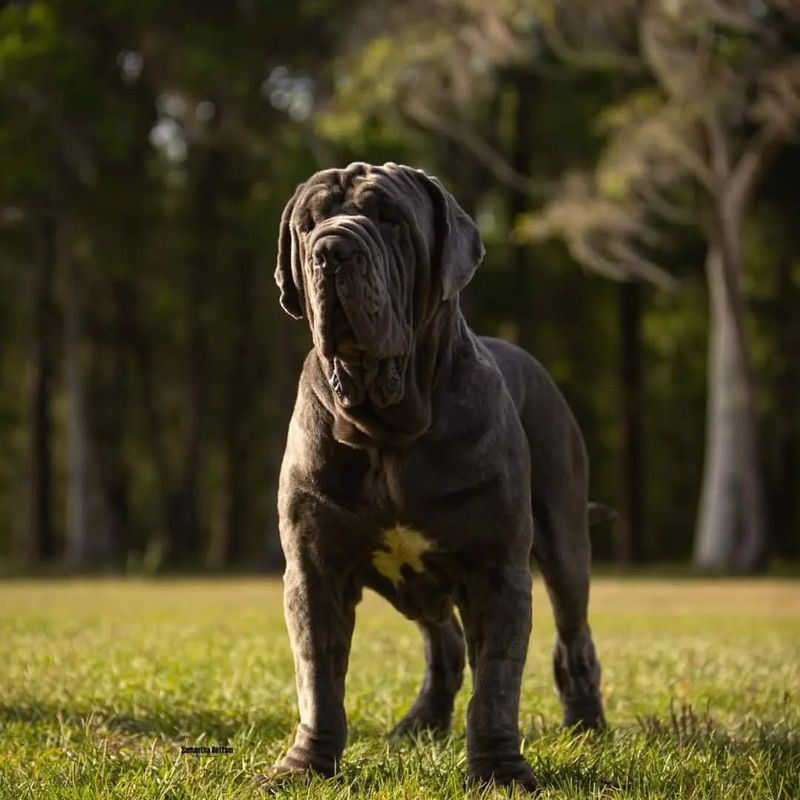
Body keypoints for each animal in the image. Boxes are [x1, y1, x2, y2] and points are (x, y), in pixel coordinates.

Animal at [266, 161, 604, 788]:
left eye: (391, 219)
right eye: (308, 223)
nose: (332, 250)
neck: (387, 430)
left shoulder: (496, 571)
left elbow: (496, 681)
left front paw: (499, 770)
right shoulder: (313, 570)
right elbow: (317, 677)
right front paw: (305, 766)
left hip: (566, 545)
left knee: (574, 640)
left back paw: (587, 727)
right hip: (415, 586)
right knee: (442, 641)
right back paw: (422, 722)